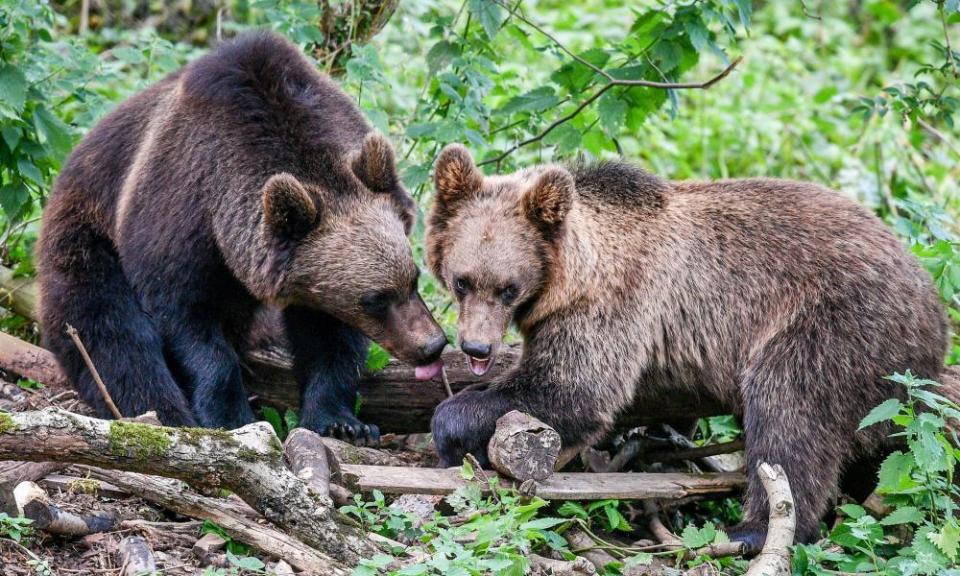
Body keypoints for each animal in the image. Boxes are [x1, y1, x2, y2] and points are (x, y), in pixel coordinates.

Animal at [33, 30, 446, 440]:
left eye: (414, 278)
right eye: (375, 299)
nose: (432, 344)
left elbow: (328, 338)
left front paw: (342, 422)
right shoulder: (177, 209)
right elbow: (185, 319)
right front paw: (229, 415)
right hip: (85, 231)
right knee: (107, 328)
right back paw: (160, 410)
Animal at [426, 144, 944, 548]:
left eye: (508, 288)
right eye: (461, 280)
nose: (476, 347)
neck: (571, 276)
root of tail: (933, 313)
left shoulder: (614, 305)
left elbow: (573, 390)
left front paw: (453, 425)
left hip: (832, 324)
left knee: (790, 416)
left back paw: (755, 529)